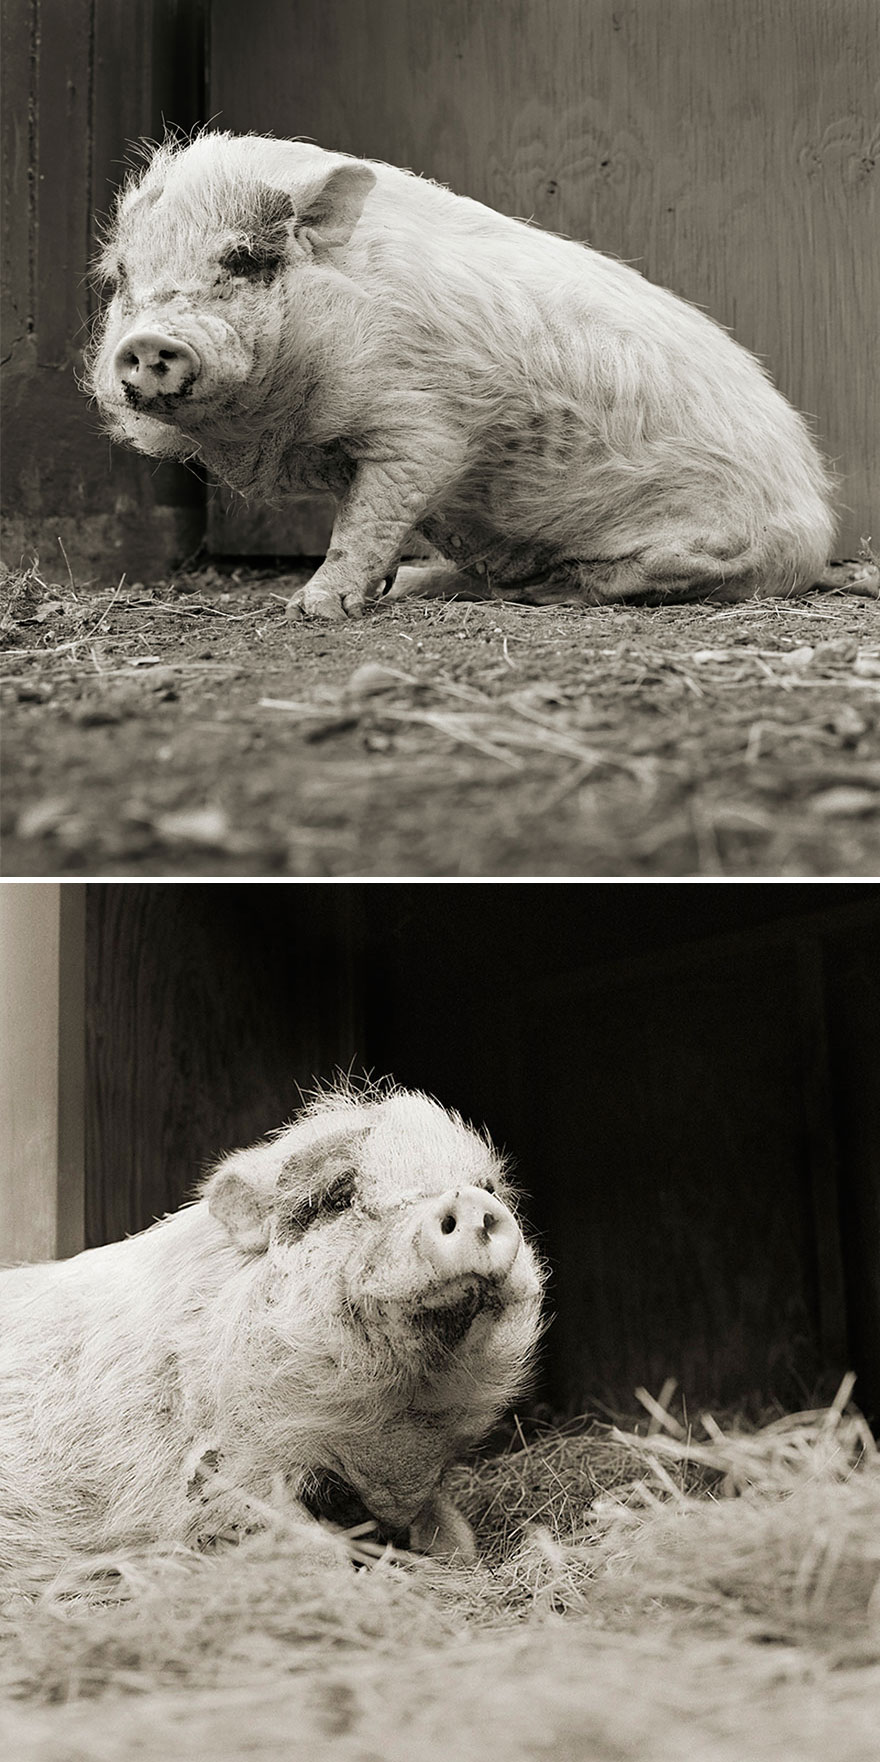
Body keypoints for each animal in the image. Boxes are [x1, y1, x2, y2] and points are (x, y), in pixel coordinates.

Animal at [0, 1086, 544, 1577]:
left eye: (488, 1187)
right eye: (337, 1196)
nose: (468, 1199)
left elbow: (457, 1538)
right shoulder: (219, 1479)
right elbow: (303, 1548)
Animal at [85, 131, 836, 620]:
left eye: (243, 259)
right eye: (121, 277)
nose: (149, 341)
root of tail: (818, 529)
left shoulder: (423, 426)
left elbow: (369, 517)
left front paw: (311, 608)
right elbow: (367, 518)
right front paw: (372, 590)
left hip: (700, 551)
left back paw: (544, 591)